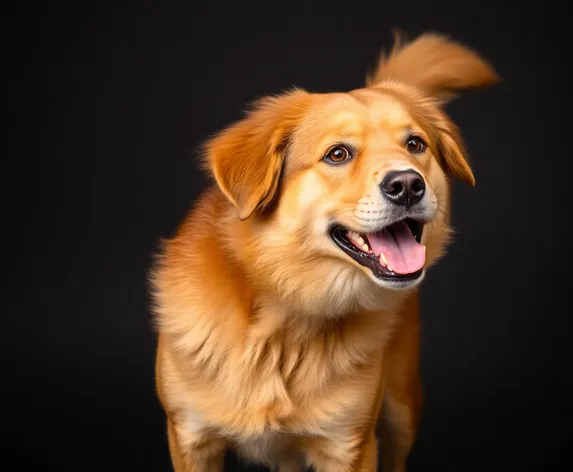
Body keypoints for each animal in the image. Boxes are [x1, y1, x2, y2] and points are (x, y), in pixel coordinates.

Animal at [151, 34, 496, 472]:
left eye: (415, 144)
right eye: (338, 154)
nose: (407, 184)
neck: (284, 322)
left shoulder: (349, 445)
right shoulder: (190, 439)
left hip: (402, 407)